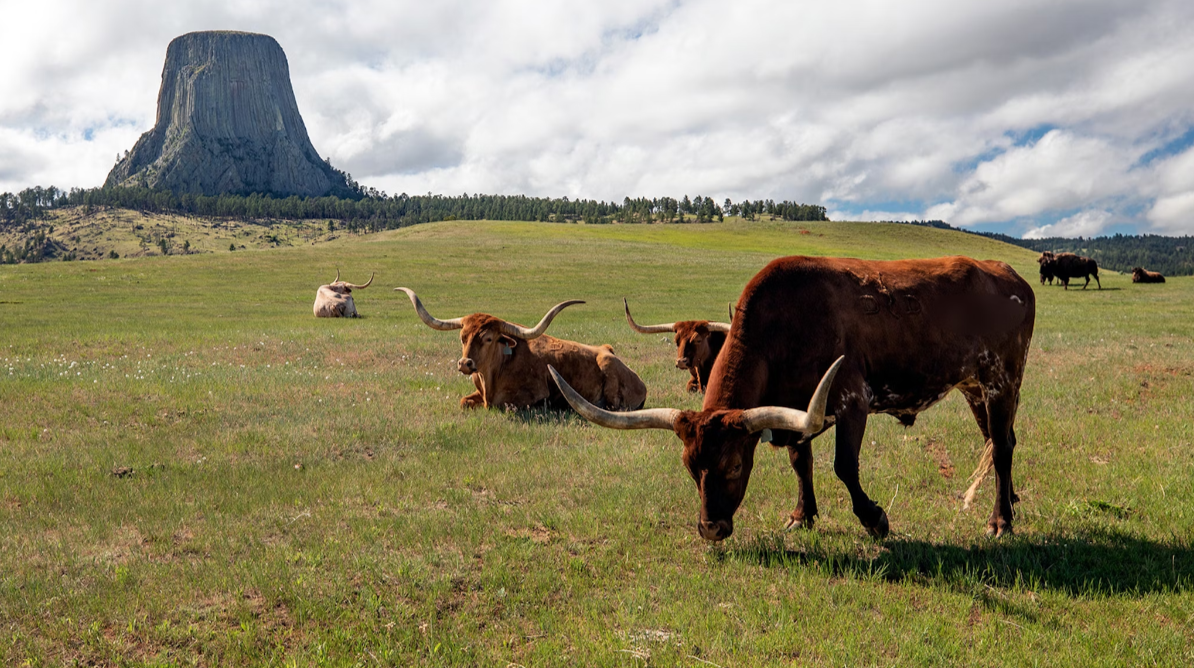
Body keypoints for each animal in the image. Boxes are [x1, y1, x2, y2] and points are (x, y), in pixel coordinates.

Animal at [396, 289, 649, 413]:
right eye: (462, 337)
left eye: (488, 338)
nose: (465, 363)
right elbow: (463, 401)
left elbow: (508, 407)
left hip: (609, 372)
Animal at [554, 255, 1031, 544]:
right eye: (690, 467)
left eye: (734, 465)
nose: (711, 529)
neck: (782, 328)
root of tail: (1011, 275)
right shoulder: (796, 411)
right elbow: (801, 463)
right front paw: (803, 515)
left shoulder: (851, 400)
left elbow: (844, 466)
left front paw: (875, 519)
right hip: (975, 387)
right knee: (998, 439)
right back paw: (1010, 502)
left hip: (1002, 379)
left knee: (1002, 447)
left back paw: (1000, 521)